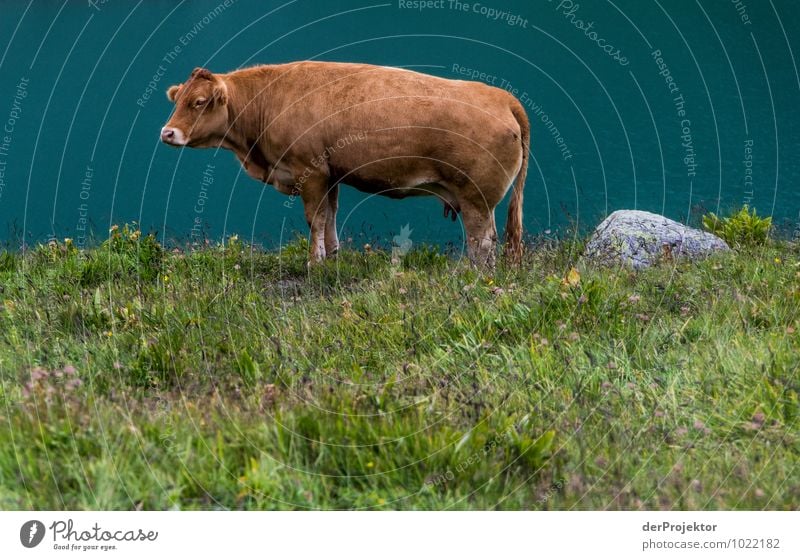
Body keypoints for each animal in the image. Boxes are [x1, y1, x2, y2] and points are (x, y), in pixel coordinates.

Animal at [159, 61, 528, 266]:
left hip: (476, 196)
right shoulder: (330, 175)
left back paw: (473, 275)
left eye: (199, 102)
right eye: (177, 100)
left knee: (483, 241)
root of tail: (501, 96)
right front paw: (333, 256)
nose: (167, 132)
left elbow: (315, 218)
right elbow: (329, 216)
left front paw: (314, 262)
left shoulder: (309, 171)